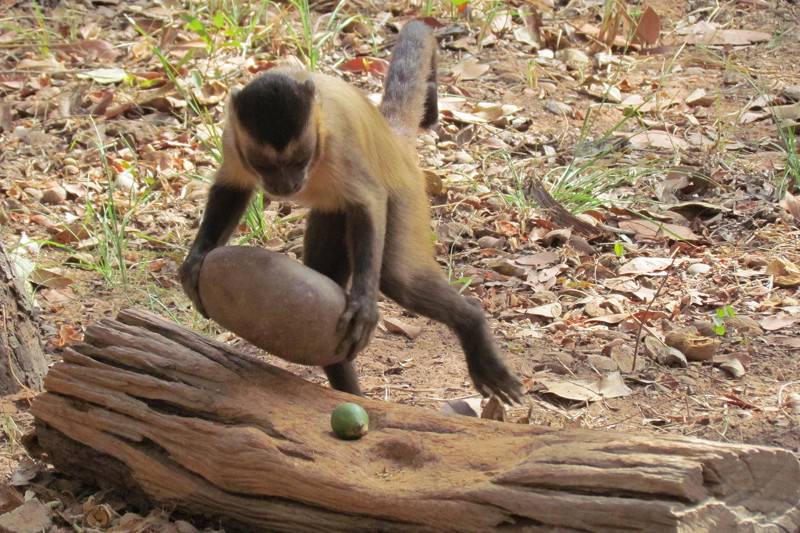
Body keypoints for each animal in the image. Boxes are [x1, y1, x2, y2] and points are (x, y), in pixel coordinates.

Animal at [180, 20, 523, 404]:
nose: (286, 185)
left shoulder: (339, 140)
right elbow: (233, 186)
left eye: (298, 161)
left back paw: (470, 320)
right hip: (332, 212)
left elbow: (368, 203)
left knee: (396, 274)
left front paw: (363, 304)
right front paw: (196, 259)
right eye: (265, 166)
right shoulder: (232, 134)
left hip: (404, 188)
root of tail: (392, 138)